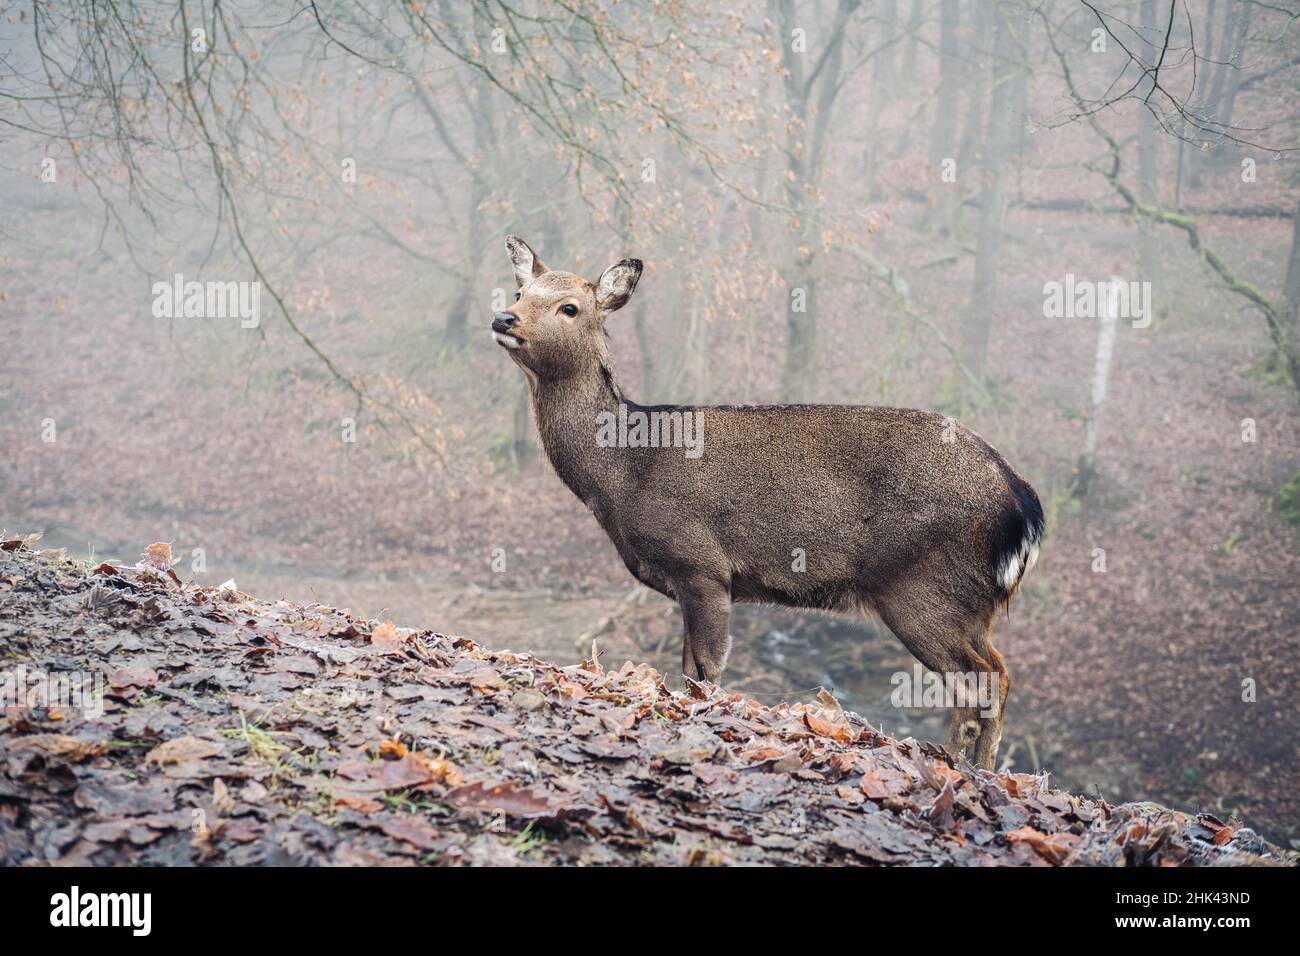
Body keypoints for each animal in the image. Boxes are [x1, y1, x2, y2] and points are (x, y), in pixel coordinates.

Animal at [490, 236, 1044, 770]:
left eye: (569, 307)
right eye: (519, 292)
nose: (503, 318)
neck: (624, 476)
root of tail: (1022, 503)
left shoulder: (703, 564)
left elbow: (705, 671)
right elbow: (690, 671)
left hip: (923, 586)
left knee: (978, 681)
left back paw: (959, 765)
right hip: (971, 604)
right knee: (998, 675)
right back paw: (984, 768)